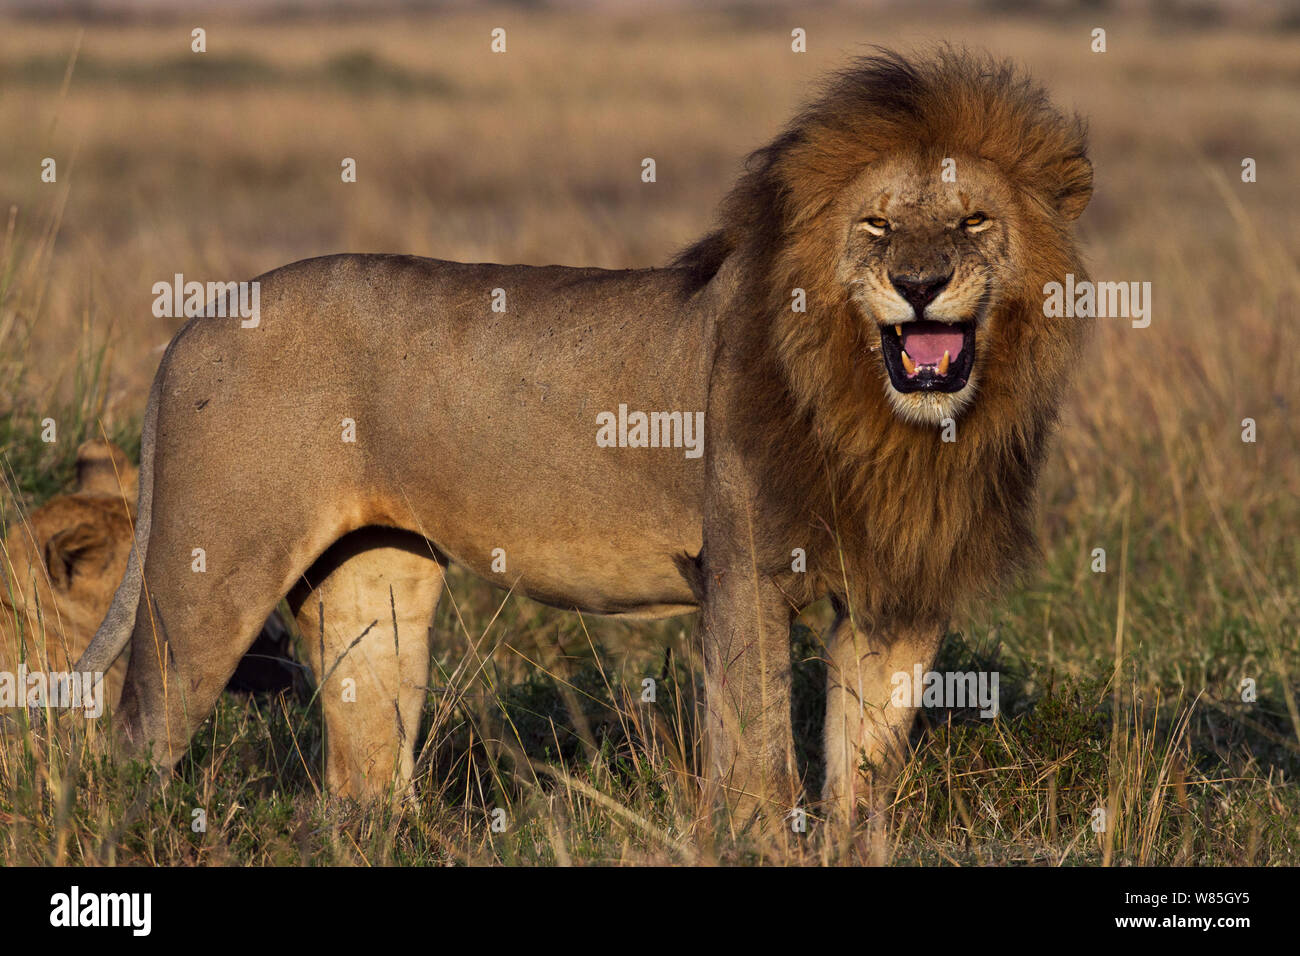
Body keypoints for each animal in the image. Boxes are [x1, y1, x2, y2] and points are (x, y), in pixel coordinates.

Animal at [78, 46, 1097, 822]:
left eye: (974, 220)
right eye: (877, 225)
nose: (920, 285)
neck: (891, 424)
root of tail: (195, 322)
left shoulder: (901, 594)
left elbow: (865, 769)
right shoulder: (744, 568)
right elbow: (758, 755)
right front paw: (757, 837)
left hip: (375, 582)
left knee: (361, 775)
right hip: (209, 580)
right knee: (133, 739)